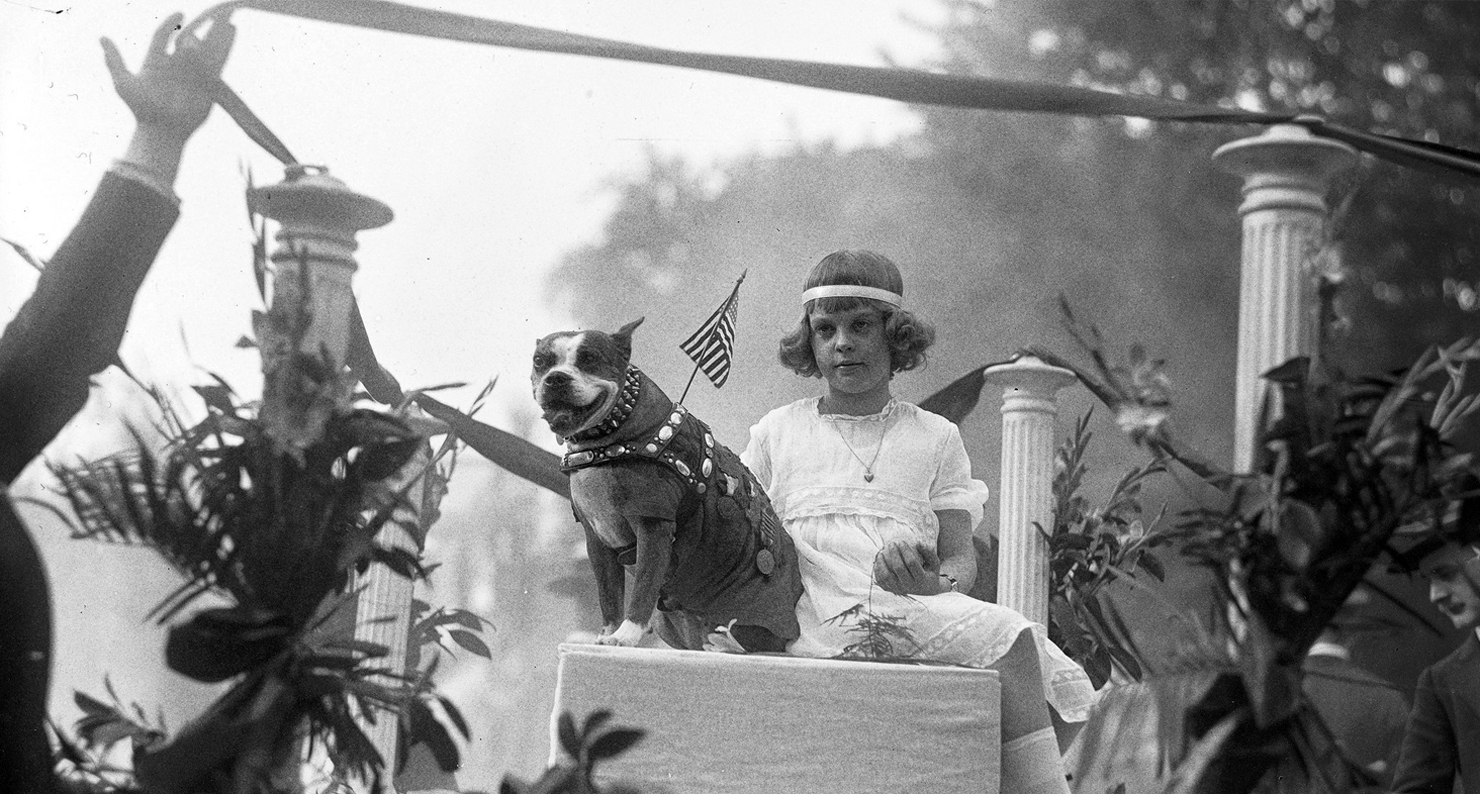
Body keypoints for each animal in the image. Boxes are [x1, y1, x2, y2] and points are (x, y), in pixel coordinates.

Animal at [538, 317, 805, 651]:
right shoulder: (597, 539)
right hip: (669, 624)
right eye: (540, 362)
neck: (609, 441)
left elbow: (642, 588)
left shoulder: (653, 526)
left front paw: (625, 636)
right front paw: (606, 633)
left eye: (589, 359)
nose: (555, 378)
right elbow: (608, 595)